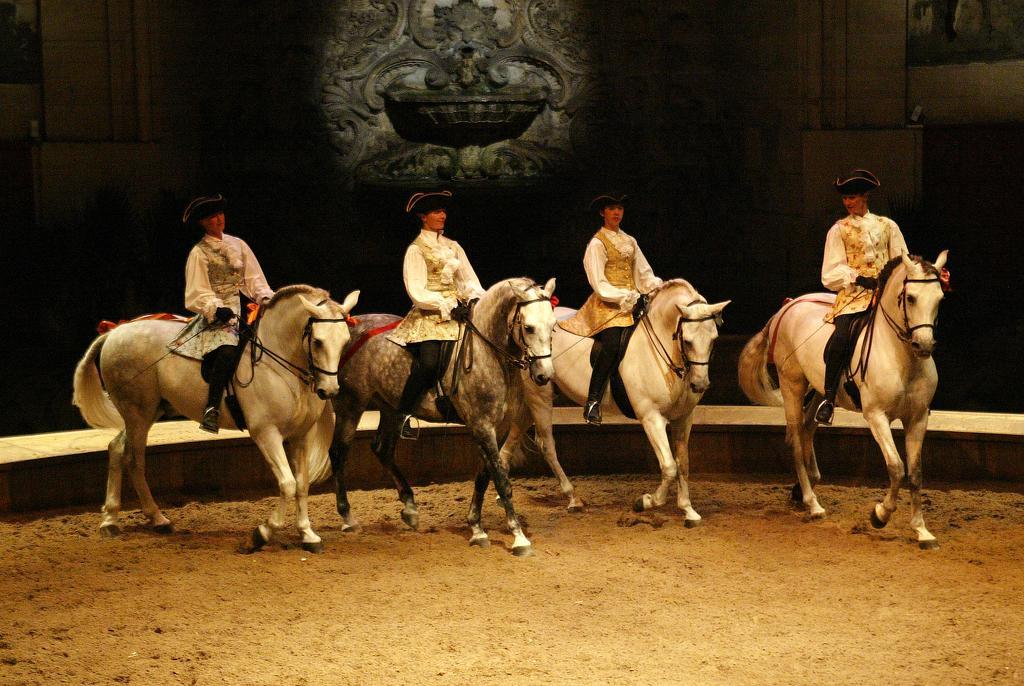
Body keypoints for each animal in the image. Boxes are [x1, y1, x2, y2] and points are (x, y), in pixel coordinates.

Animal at [73, 284, 360, 552]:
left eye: (345, 341)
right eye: (318, 341)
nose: (329, 391)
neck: (281, 366)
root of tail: (114, 332)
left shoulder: (301, 435)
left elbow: (301, 485)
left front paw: (307, 535)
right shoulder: (266, 433)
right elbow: (288, 483)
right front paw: (261, 533)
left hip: (151, 411)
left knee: (117, 449)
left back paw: (125, 519)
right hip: (137, 413)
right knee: (133, 459)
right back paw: (136, 519)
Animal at [325, 276, 552, 556]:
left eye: (553, 326)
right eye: (529, 328)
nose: (544, 375)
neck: (488, 353)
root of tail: (350, 328)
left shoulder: (496, 429)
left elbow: (484, 476)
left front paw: (476, 528)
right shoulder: (482, 426)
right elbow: (501, 479)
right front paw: (519, 537)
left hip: (391, 408)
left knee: (382, 449)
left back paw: (410, 508)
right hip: (351, 404)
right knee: (338, 452)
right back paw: (348, 518)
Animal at [501, 278, 729, 528]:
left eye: (714, 339)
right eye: (687, 341)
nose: (699, 384)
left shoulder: (683, 418)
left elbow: (684, 464)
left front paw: (688, 510)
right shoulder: (651, 418)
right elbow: (670, 466)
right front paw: (645, 502)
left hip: (531, 400)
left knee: (513, 436)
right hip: (539, 396)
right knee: (546, 445)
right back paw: (573, 498)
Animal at [741, 252, 946, 548]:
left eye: (940, 298)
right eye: (910, 298)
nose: (925, 345)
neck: (903, 358)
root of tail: (787, 308)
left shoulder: (918, 418)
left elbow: (916, 473)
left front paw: (922, 530)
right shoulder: (876, 416)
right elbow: (897, 467)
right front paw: (880, 515)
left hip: (819, 389)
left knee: (807, 428)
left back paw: (805, 488)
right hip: (792, 384)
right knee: (795, 437)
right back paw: (812, 503)